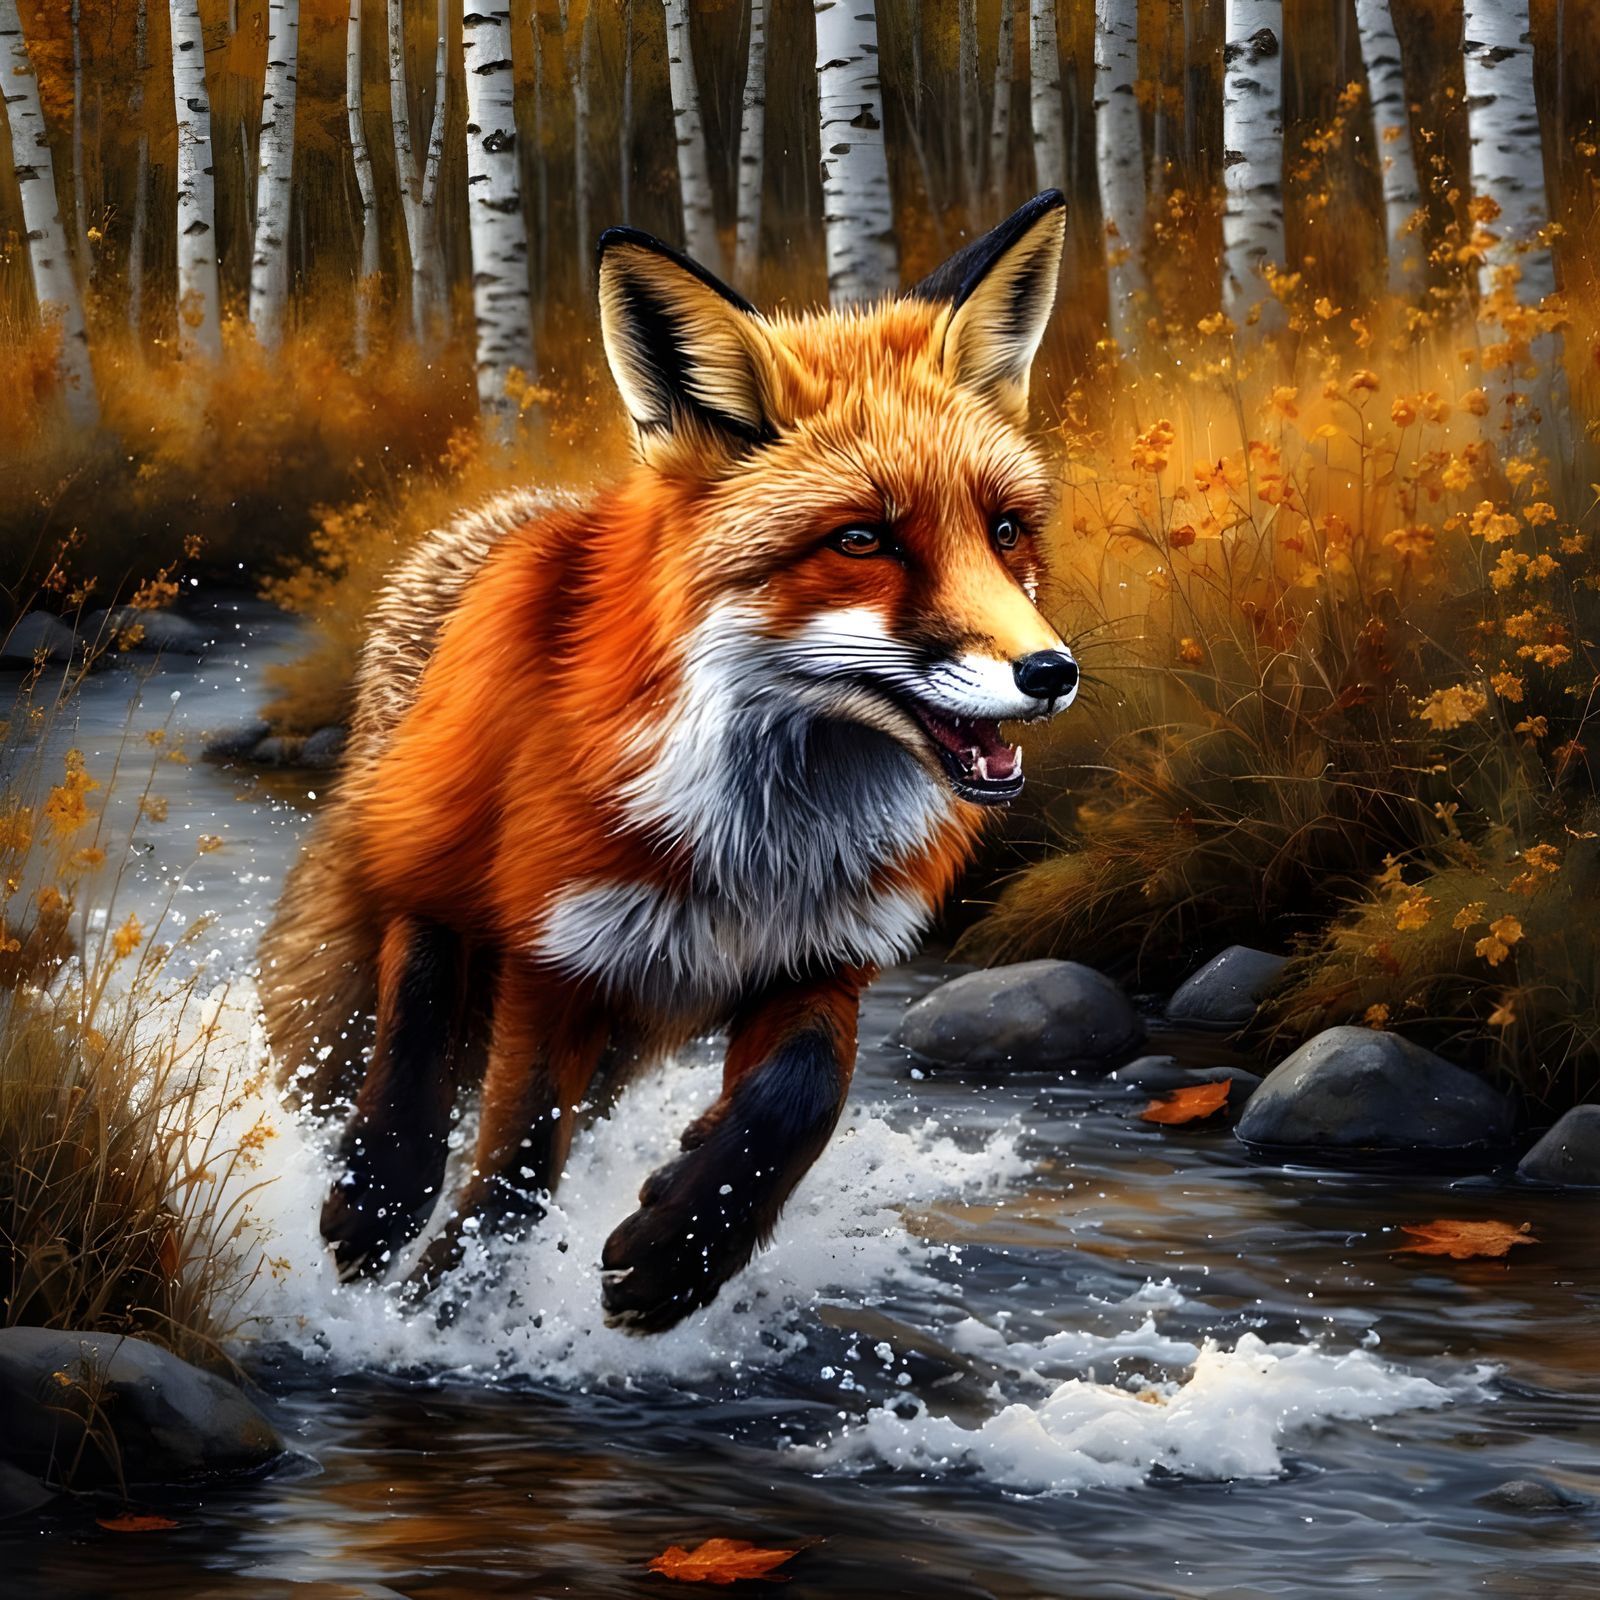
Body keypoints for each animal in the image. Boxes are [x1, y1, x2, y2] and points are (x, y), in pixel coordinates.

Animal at [258, 190, 1080, 1332]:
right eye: (862, 541)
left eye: (1004, 530)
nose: (1051, 672)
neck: (762, 844)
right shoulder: (556, 952)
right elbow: (514, 1164)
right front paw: (445, 1309)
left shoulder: (825, 952)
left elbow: (798, 1097)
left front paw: (678, 1255)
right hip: (441, 864)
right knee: (416, 982)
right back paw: (377, 1197)